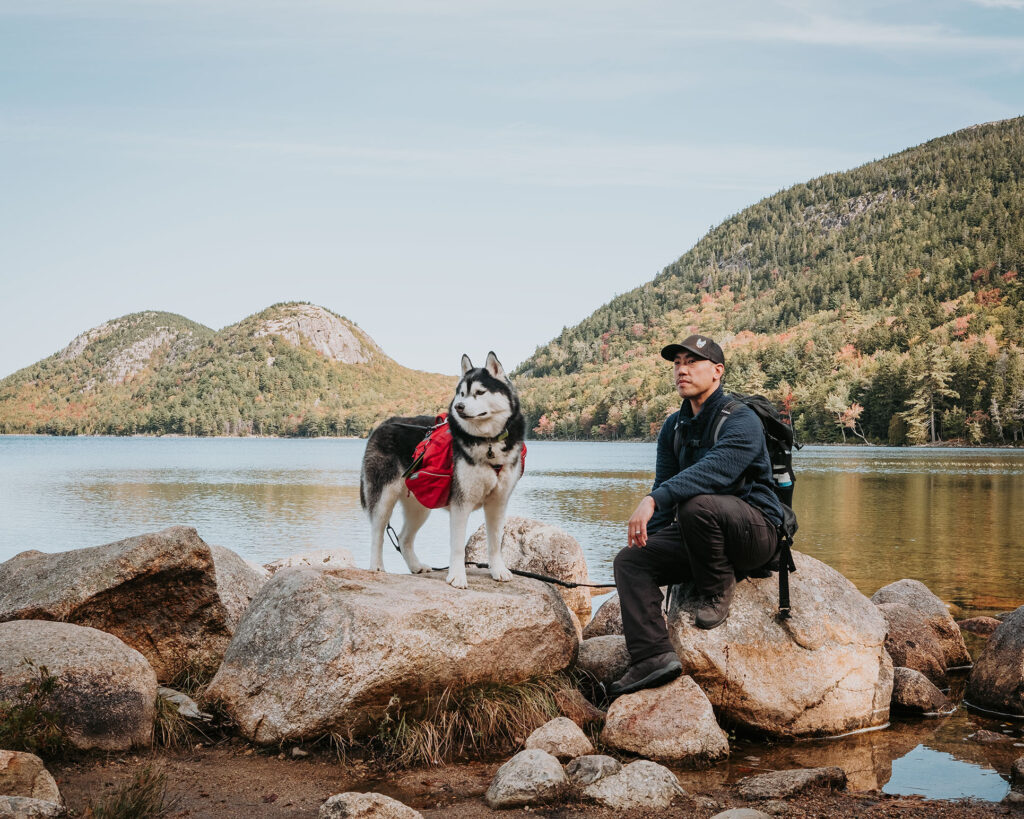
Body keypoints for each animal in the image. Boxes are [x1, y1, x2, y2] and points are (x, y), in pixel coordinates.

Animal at [360, 354, 528, 589]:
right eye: (462, 393)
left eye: (480, 392)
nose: (458, 407)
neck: (489, 442)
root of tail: (382, 425)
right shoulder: (461, 502)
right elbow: (457, 545)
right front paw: (457, 576)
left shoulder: (499, 502)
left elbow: (495, 542)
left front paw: (498, 570)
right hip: (384, 496)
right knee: (378, 532)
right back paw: (376, 566)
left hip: (420, 505)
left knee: (403, 538)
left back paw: (416, 566)